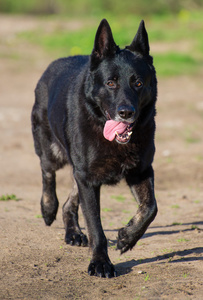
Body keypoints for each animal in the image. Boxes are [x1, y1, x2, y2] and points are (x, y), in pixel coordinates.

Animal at [30, 18, 158, 276]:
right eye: (110, 83)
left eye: (138, 83)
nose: (126, 113)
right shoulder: (88, 179)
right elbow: (96, 228)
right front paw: (100, 263)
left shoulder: (140, 171)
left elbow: (150, 208)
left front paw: (127, 237)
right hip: (53, 153)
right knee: (47, 173)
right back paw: (48, 208)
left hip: (79, 172)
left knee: (69, 201)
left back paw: (73, 233)